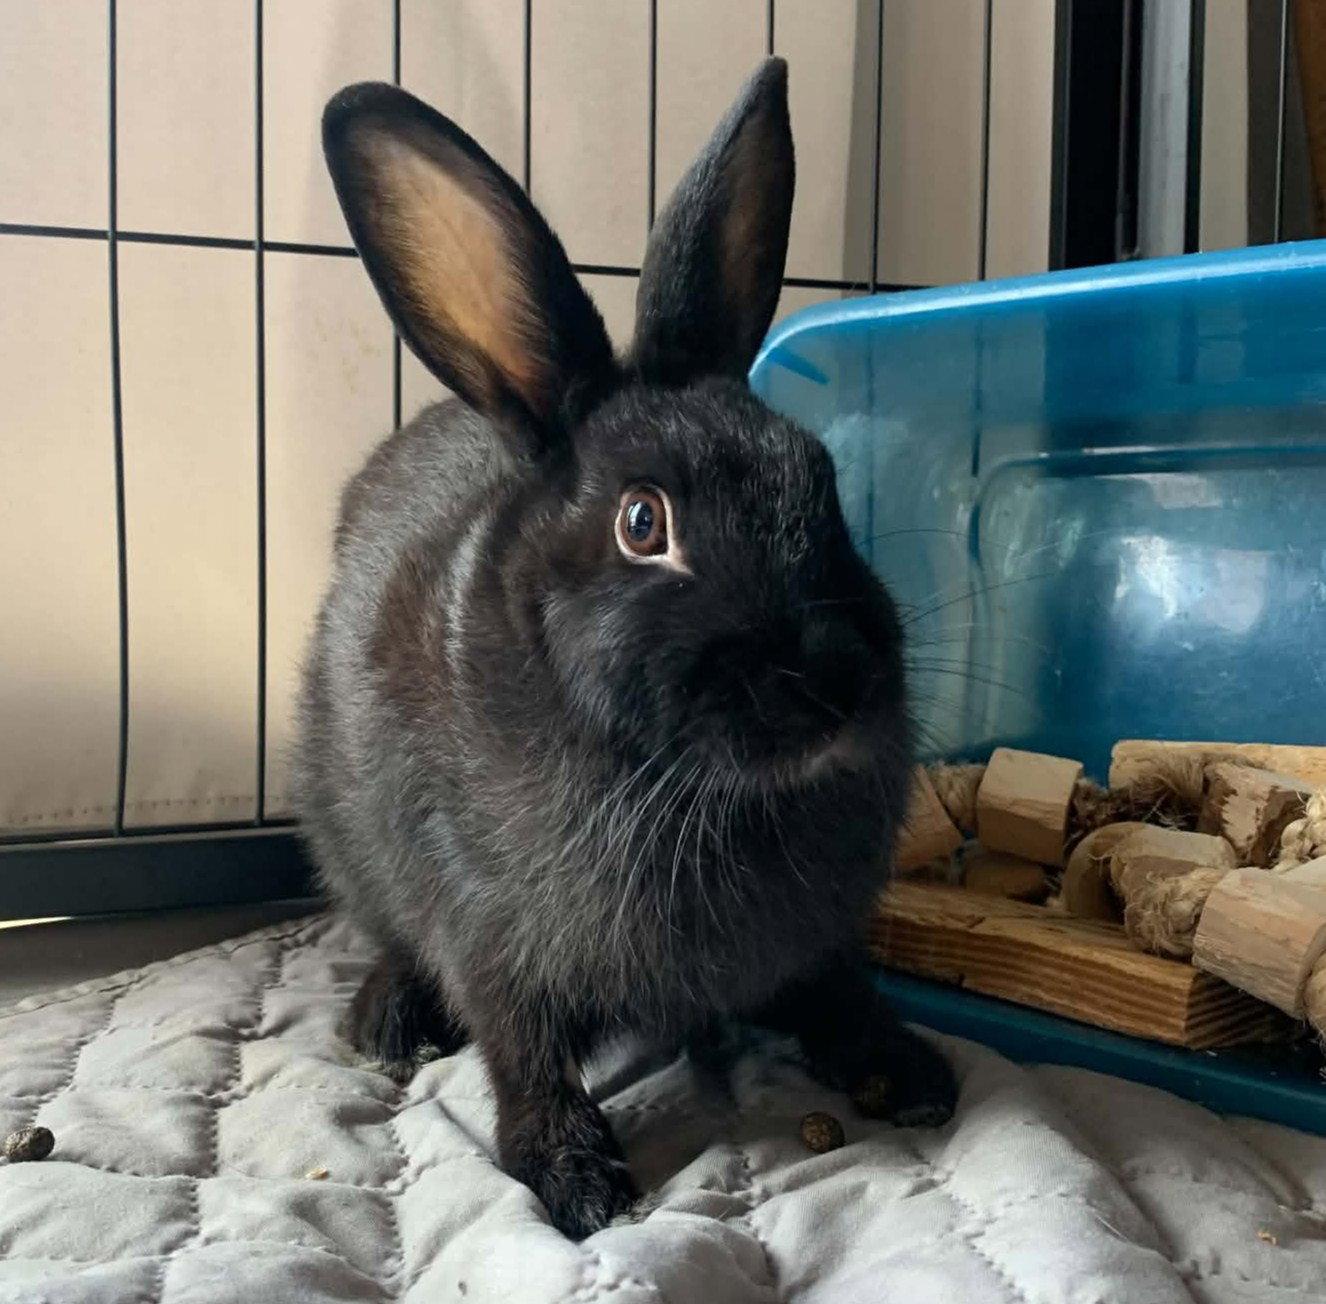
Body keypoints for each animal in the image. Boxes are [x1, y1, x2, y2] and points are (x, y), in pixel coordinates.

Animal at [298, 57, 956, 1241]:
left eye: (822, 479)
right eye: (643, 523)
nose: (835, 683)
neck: (688, 784)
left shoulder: (826, 938)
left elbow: (842, 993)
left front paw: (912, 1071)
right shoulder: (491, 934)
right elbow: (522, 1052)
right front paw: (578, 1183)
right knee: (394, 939)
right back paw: (384, 1022)